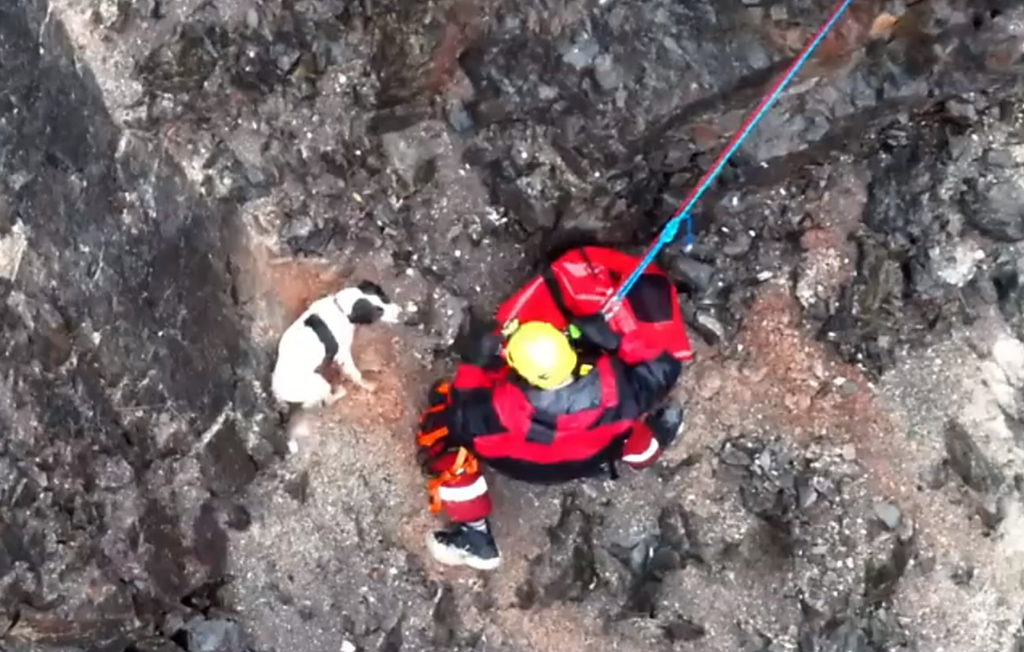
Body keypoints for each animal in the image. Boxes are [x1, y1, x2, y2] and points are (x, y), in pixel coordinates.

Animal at [272, 278, 399, 407]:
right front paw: (366, 384)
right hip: (320, 384)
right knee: (327, 401)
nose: (399, 311)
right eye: (378, 312)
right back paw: (340, 393)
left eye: (384, 298)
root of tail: (277, 393)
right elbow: (354, 372)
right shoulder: (343, 352)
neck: (340, 308)